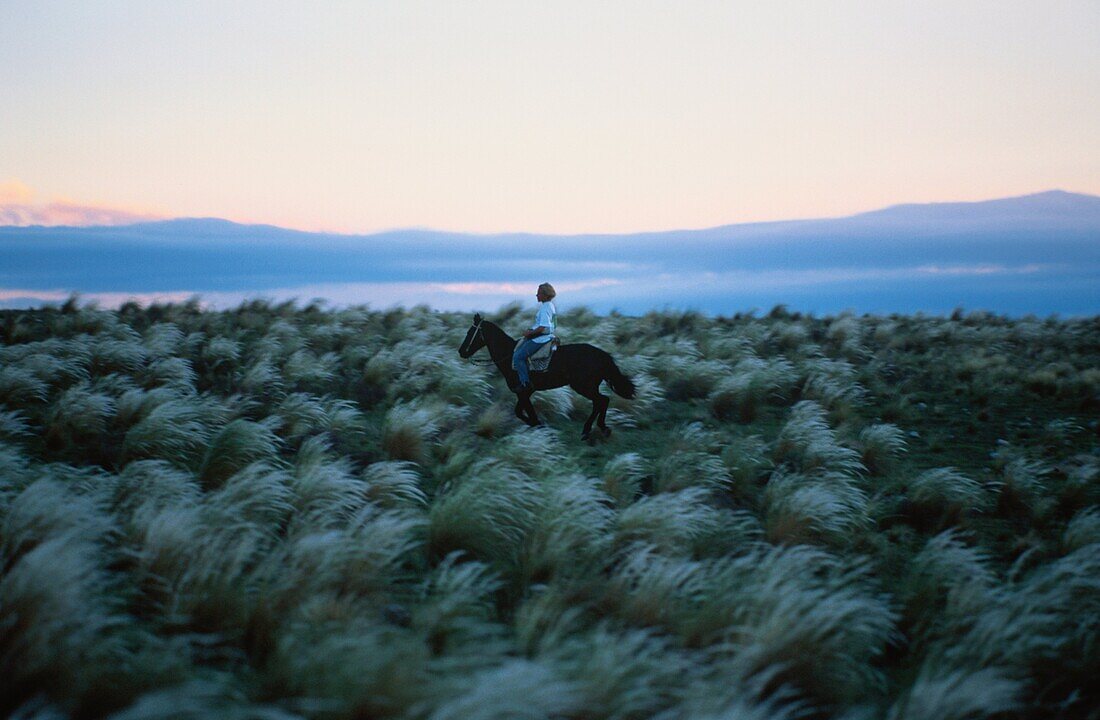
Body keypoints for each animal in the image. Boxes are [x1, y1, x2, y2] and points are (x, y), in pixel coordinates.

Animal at [457, 314, 638, 441]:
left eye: (470, 332)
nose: (461, 351)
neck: (509, 356)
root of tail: (602, 355)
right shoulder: (525, 393)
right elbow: (520, 412)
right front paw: (539, 426)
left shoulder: (523, 391)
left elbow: (525, 413)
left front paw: (540, 427)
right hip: (588, 387)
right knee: (602, 401)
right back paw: (599, 429)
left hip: (584, 387)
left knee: (602, 401)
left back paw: (589, 430)